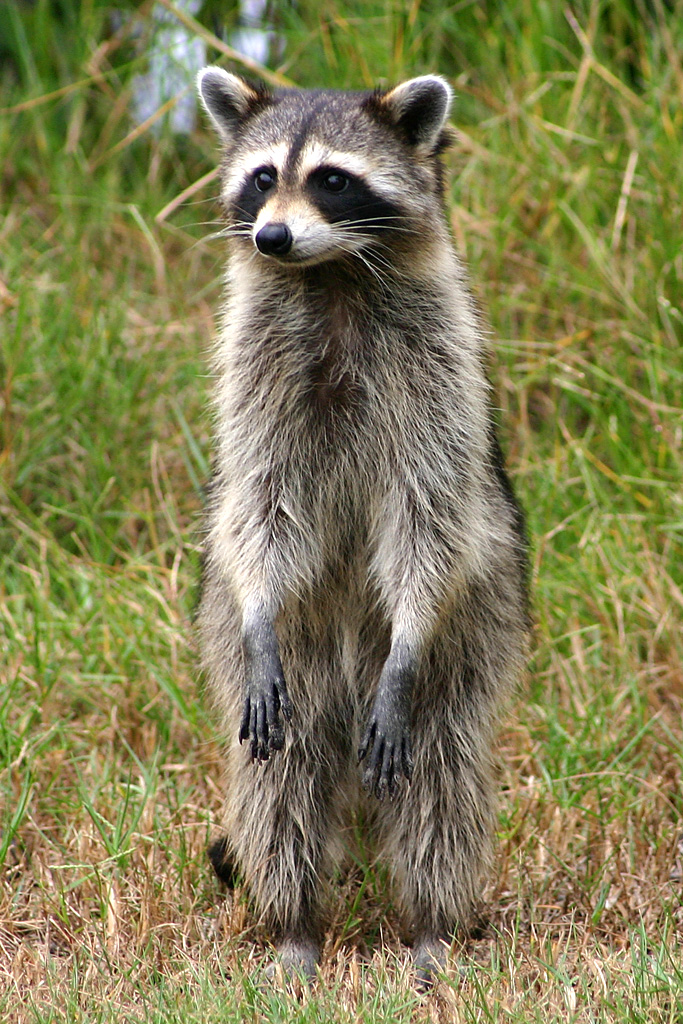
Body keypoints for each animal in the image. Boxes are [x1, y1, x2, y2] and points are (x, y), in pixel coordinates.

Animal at [195, 67, 529, 983]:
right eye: (263, 177)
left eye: (332, 180)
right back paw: (295, 925)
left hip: (475, 636)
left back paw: (431, 926)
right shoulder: (256, 368)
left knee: (440, 784)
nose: (271, 237)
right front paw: (260, 604)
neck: (332, 274)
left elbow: (431, 516)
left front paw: (411, 627)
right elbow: (259, 504)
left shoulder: (438, 368)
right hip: (275, 664)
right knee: (283, 789)